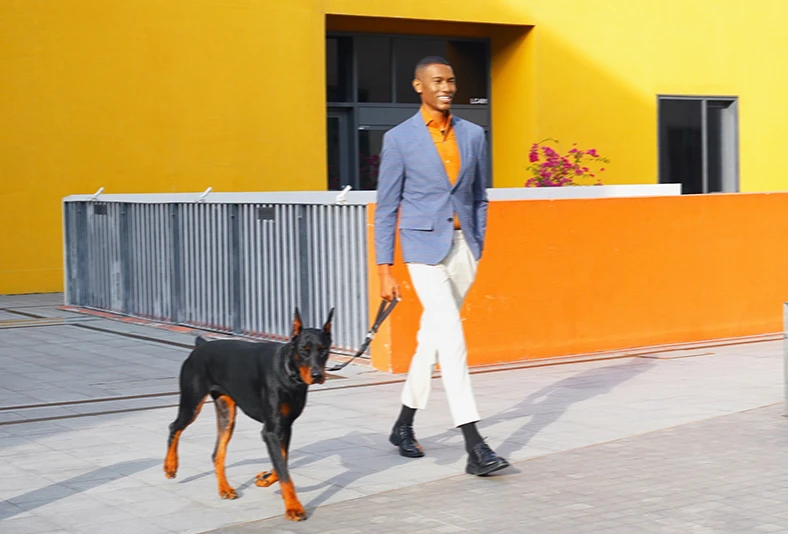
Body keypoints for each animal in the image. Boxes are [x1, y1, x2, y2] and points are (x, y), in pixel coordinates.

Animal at [163, 307, 334, 521]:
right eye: (304, 349)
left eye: (323, 350)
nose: (317, 375)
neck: (289, 374)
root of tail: (200, 346)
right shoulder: (271, 430)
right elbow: (284, 470)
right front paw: (294, 508)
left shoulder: (285, 426)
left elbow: (282, 462)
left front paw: (265, 478)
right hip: (192, 402)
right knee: (175, 426)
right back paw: (170, 466)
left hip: (227, 414)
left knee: (217, 453)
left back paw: (225, 488)